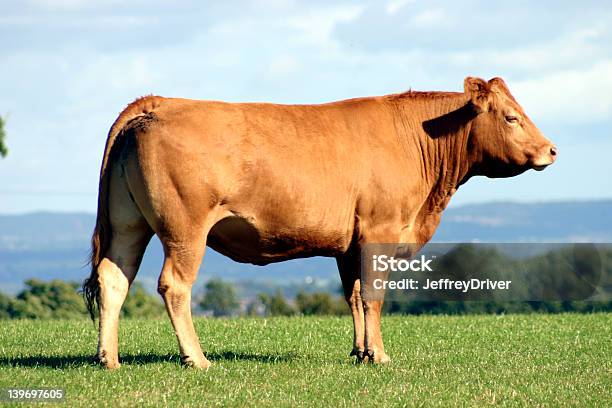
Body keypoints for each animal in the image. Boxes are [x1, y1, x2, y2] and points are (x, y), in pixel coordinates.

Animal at [83, 75, 556, 368]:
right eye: (511, 116)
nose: (550, 150)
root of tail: (159, 102)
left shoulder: (350, 244)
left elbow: (354, 296)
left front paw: (360, 352)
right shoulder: (381, 232)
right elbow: (374, 297)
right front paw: (380, 356)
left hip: (128, 224)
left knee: (113, 279)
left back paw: (109, 359)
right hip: (185, 229)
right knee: (174, 285)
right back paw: (196, 358)